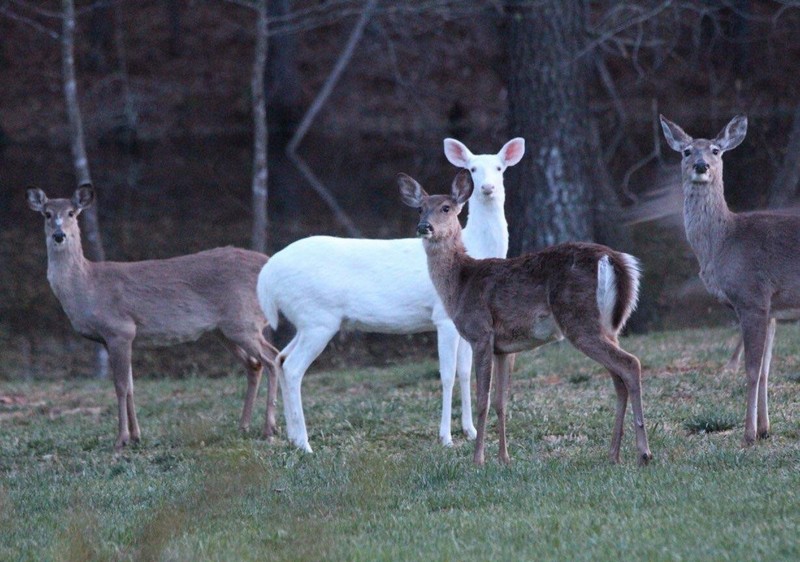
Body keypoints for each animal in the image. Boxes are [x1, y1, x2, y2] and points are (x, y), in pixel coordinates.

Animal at [27, 185, 282, 450]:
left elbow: (120, 386)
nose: (59, 235)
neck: (87, 286)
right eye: (46, 214)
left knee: (273, 358)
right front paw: (136, 436)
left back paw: (269, 428)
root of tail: (268, 262)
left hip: (243, 321)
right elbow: (130, 386)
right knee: (254, 364)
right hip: (223, 330)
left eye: (71, 212)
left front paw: (121, 438)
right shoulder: (112, 339)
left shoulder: (119, 329)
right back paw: (244, 426)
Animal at [256, 138, 528, 448]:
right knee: (293, 368)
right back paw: (305, 443)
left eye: (500, 167)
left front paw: (469, 431)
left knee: (280, 358)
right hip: (318, 318)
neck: (473, 250)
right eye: (472, 168)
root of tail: (268, 275)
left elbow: (464, 371)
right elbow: (447, 374)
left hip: (306, 320)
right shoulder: (442, 318)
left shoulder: (465, 319)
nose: (487, 187)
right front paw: (446, 437)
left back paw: (292, 437)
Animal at [396, 170, 652, 464]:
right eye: (420, 208)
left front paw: (478, 459)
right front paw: (504, 458)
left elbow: (483, 399)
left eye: (446, 207)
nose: (424, 226)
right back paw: (613, 454)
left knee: (630, 364)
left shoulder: (481, 332)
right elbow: (501, 401)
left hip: (579, 318)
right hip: (609, 326)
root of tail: (612, 258)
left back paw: (644, 453)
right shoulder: (505, 347)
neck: (460, 283)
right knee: (618, 378)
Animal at [660, 115, 800, 446]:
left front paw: (748, 435)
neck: (724, 241)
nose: (701, 166)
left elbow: (751, 370)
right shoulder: (772, 309)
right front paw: (764, 429)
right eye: (686, 151)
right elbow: (765, 370)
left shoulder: (752, 297)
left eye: (716, 150)